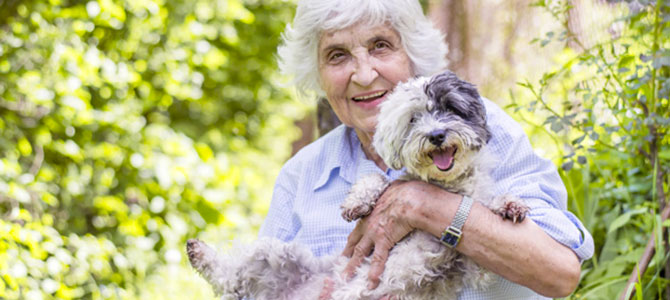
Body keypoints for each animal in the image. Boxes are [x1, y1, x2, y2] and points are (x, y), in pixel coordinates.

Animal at [185, 71, 532, 298]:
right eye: (413, 119)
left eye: (450, 108)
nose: (436, 135)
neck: (445, 186)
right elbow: (378, 179)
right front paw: (358, 201)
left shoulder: (468, 261)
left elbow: (482, 205)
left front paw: (509, 205)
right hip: (275, 253)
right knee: (230, 277)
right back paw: (199, 252)